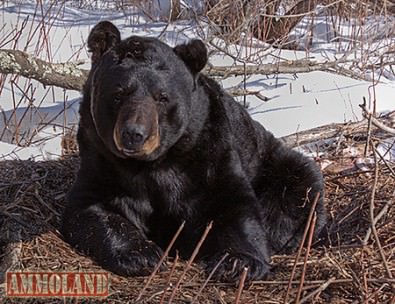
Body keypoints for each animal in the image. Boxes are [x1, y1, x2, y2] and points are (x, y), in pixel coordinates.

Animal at [62, 20, 326, 282]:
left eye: (162, 97)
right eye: (118, 94)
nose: (134, 135)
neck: (153, 162)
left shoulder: (209, 154)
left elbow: (233, 205)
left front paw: (237, 261)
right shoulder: (100, 159)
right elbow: (91, 206)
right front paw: (140, 254)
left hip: (277, 167)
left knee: (296, 192)